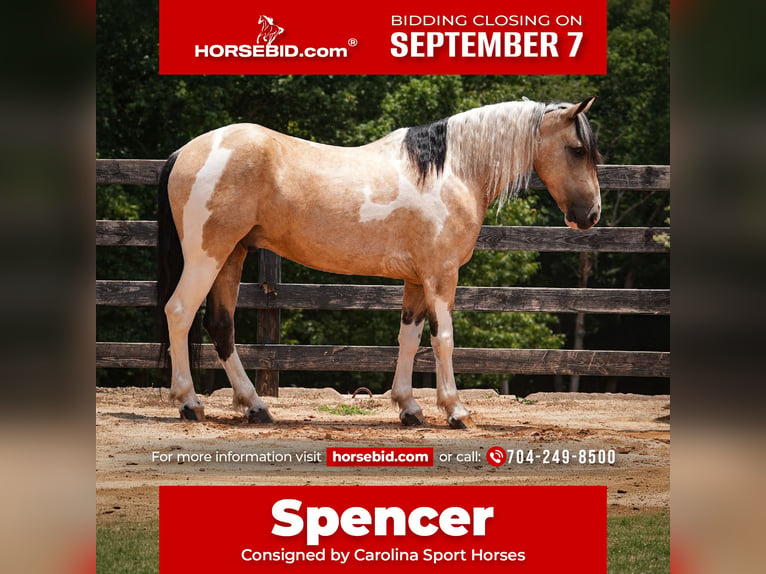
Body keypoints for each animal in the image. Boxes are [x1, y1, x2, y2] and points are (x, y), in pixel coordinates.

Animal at [156, 97, 601, 429]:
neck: (452, 171)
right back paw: (189, 403)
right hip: (207, 254)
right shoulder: (441, 275)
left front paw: (410, 408)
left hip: (233, 254)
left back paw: (255, 406)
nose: (592, 214)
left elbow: (409, 337)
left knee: (221, 325)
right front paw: (456, 411)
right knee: (179, 312)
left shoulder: (417, 279)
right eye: (578, 149)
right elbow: (443, 339)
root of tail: (185, 151)